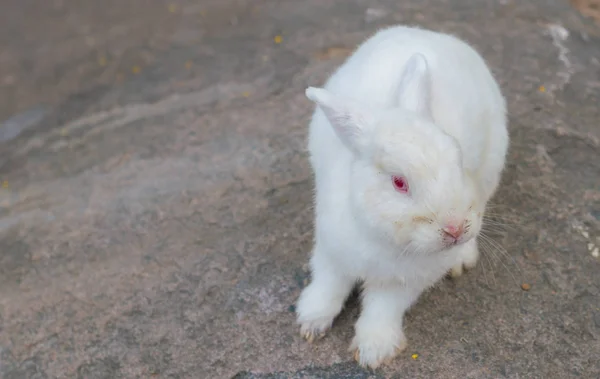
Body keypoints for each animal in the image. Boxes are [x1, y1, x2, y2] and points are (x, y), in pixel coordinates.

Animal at [294, 25, 506, 370]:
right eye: (399, 182)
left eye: (458, 160)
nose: (455, 229)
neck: (383, 236)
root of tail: (428, 33)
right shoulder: (330, 250)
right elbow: (328, 285)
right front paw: (311, 323)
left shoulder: (403, 281)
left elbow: (382, 309)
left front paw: (373, 352)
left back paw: (463, 258)